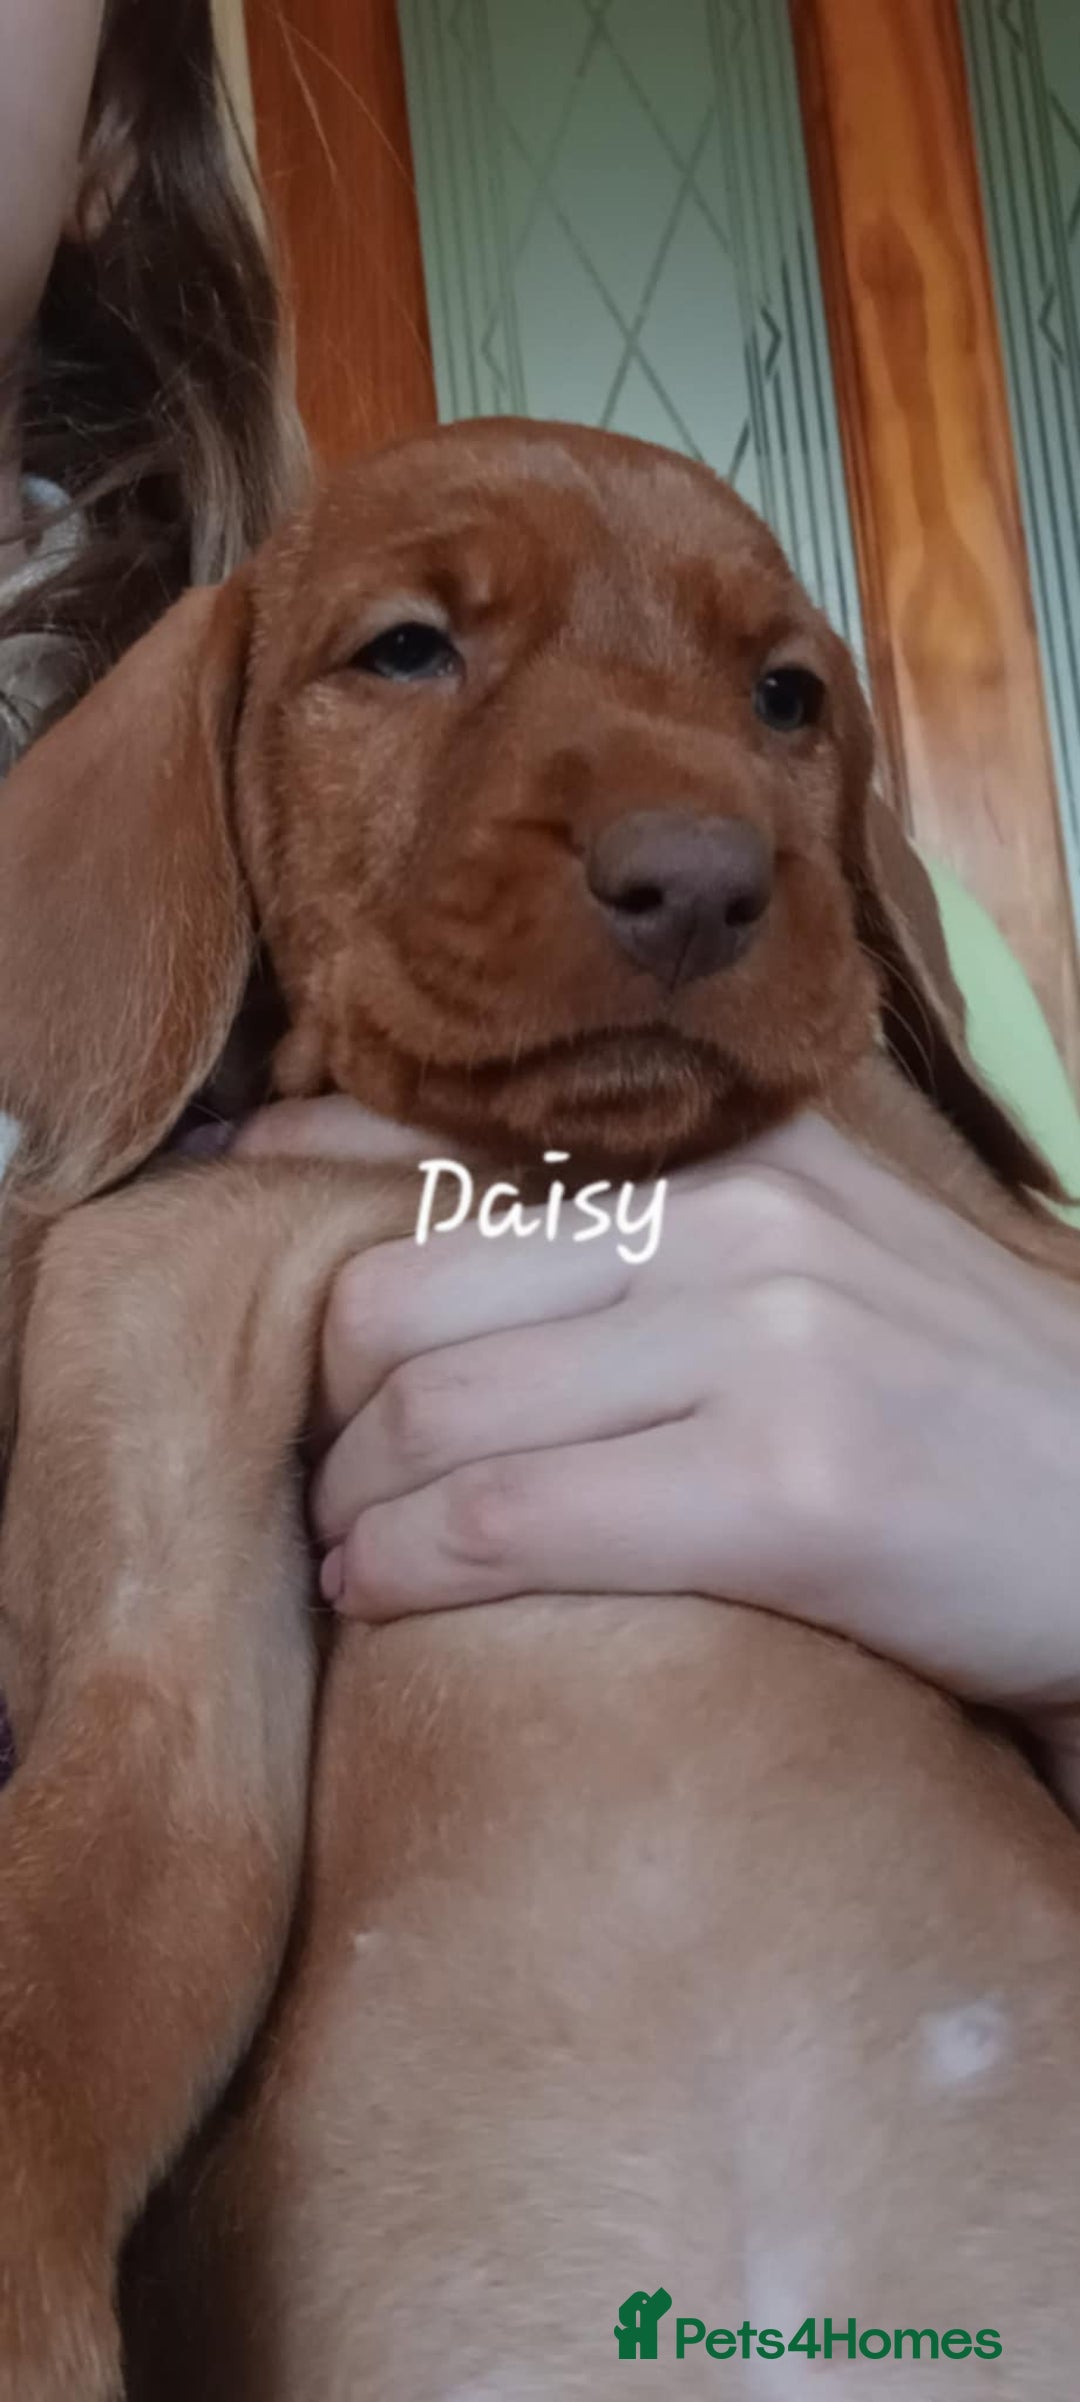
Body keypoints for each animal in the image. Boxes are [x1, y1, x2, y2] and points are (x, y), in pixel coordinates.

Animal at [0, 421, 1078, 2401]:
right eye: (408, 650)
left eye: (788, 696)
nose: (702, 876)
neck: (489, 1170)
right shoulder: (161, 1667)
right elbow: (42, 2003)